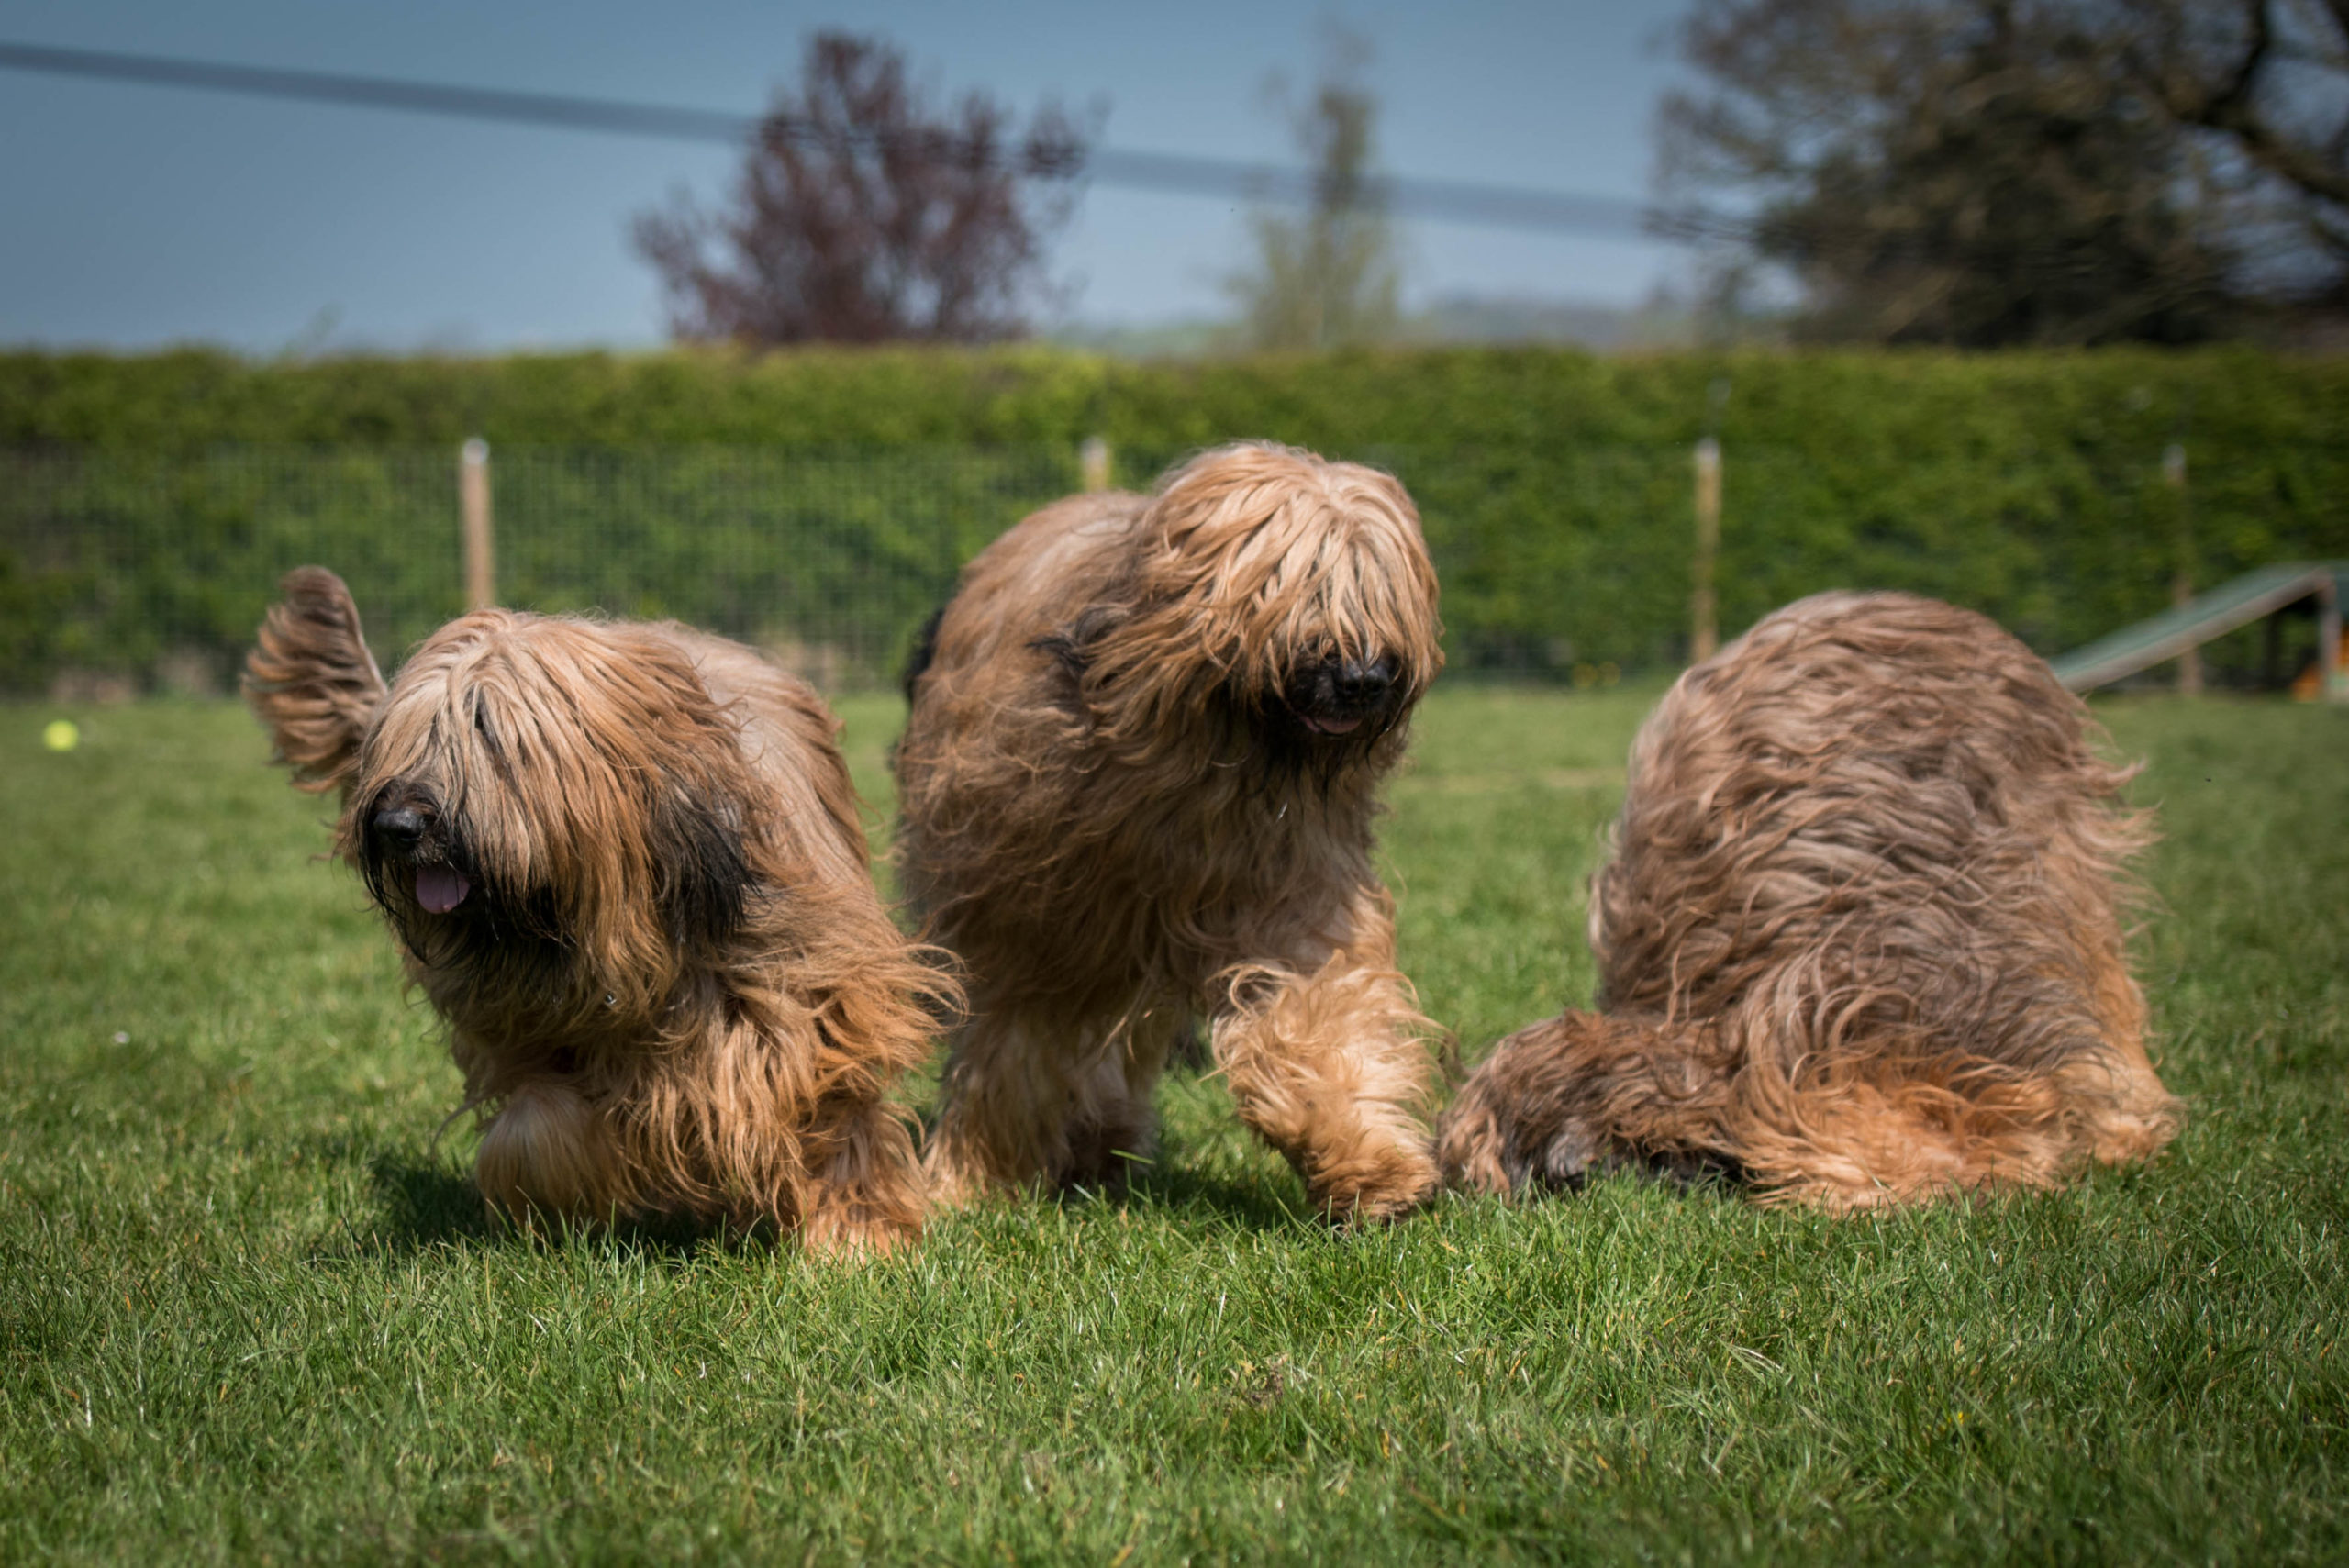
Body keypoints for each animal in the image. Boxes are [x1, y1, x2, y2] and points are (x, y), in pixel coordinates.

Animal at [245, 570, 953, 1258]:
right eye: (400, 740)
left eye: (486, 730)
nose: (397, 825)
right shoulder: (528, 1027)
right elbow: (538, 1124)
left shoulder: (811, 988)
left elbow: (824, 1101)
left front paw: (858, 1235)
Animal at [896, 440, 1446, 1220]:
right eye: (1293, 580)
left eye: (1377, 589)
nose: (1365, 678)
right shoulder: (1030, 918)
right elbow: (1011, 1047)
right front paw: (973, 1180)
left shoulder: (1290, 883)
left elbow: (1320, 1009)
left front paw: (1370, 1164)